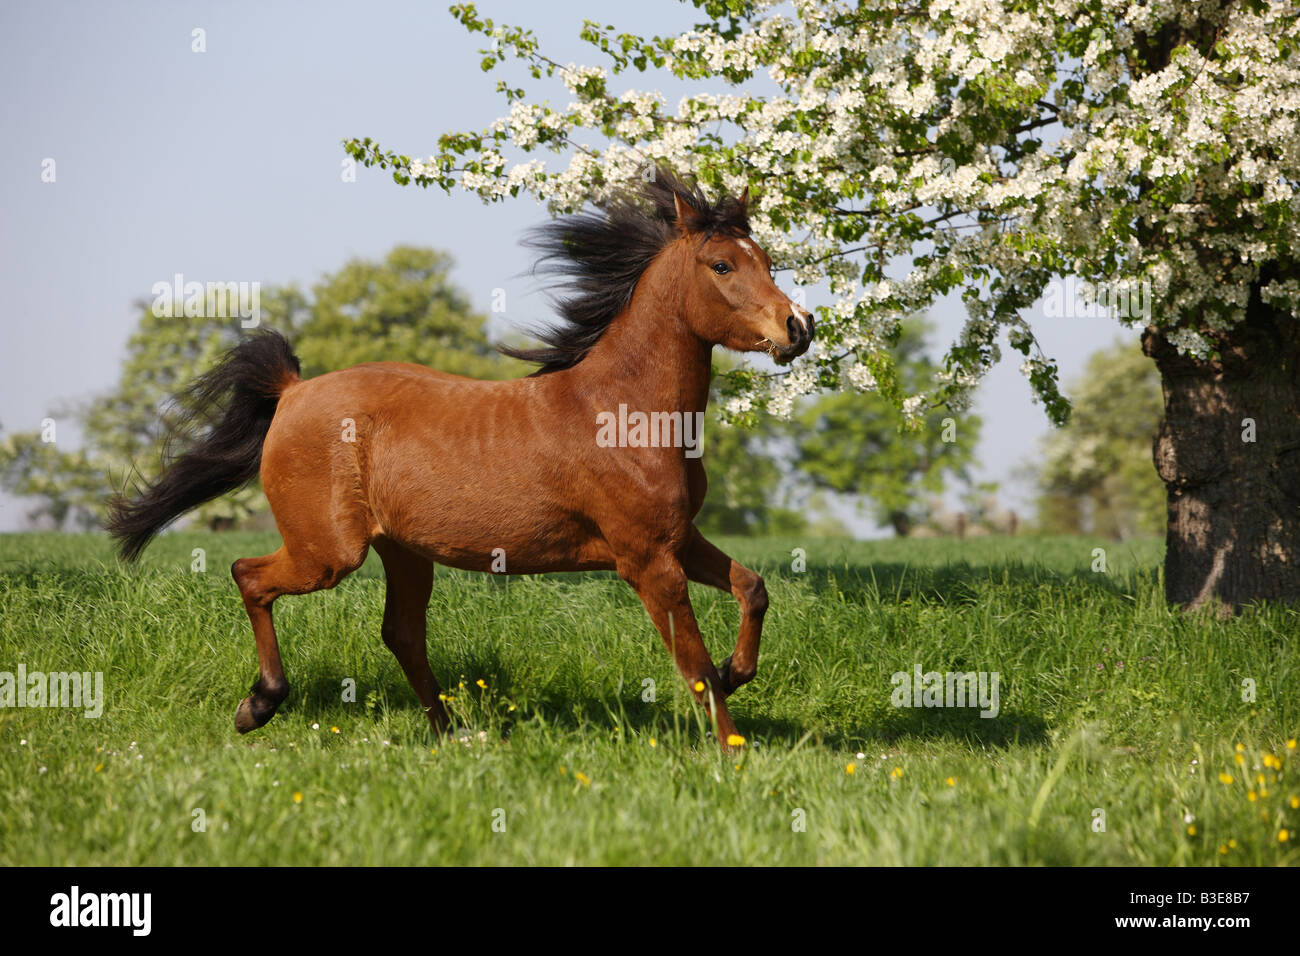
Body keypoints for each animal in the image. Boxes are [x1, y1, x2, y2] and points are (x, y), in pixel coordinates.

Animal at [107, 168, 814, 750]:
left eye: (767, 259)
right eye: (721, 265)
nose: (798, 328)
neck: (623, 412)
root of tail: (292, 391)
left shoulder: (678, 538)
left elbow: (753, 589)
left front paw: (737, 671)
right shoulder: (647, 560)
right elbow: (692, 665)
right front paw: (733, 751)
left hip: (403, 552)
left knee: (401, 634)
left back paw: (450, 735)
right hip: (328, 553)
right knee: (249, 575)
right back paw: (258, 706)